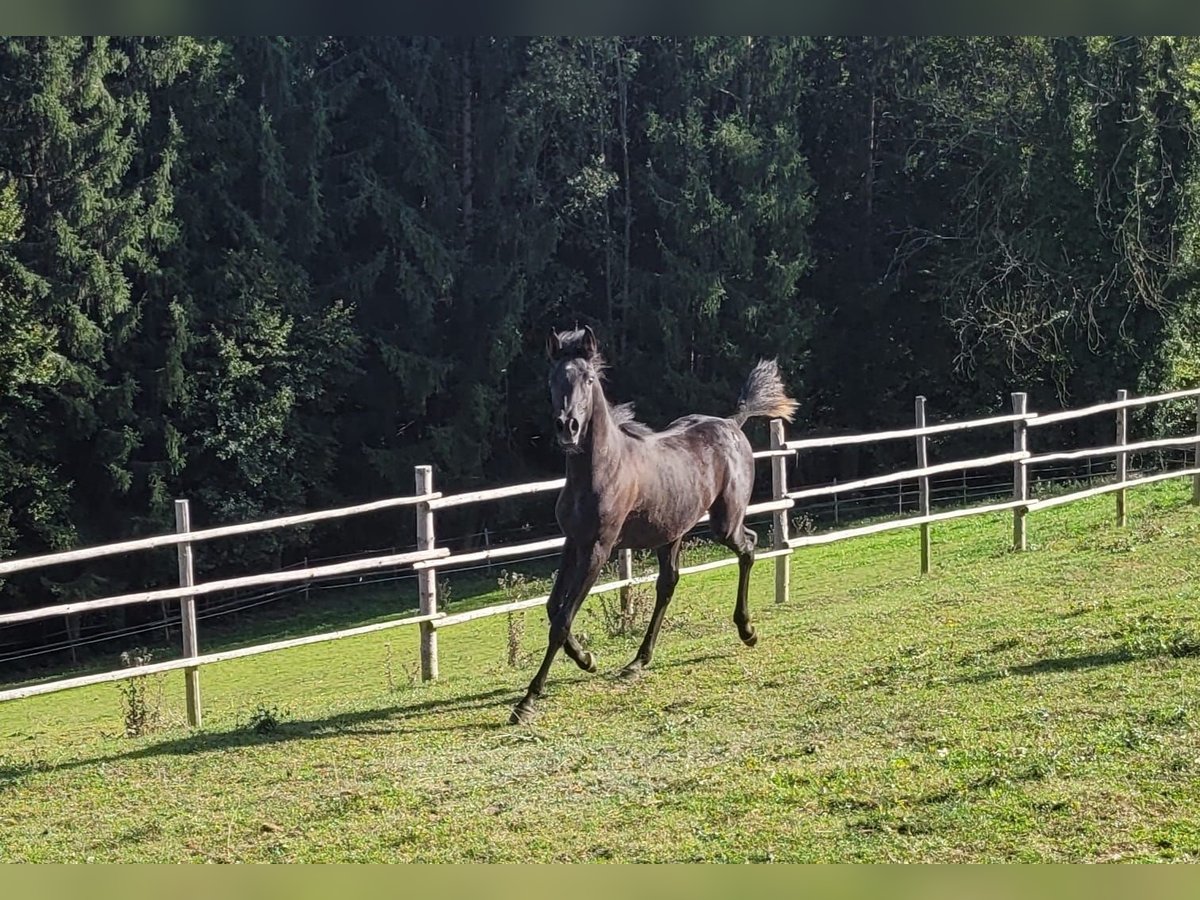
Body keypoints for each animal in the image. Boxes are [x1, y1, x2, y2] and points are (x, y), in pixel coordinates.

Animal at [508, 324, 796, 724]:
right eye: (552, 379)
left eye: (588, 378)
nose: (568, 427)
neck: (600, 469)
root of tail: (733, 423)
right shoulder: (573, 542)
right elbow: (553, 609)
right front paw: (586, 660)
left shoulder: (599, 548)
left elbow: (562, 619)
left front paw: (528, 701)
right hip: (671, 531)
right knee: (669, 583)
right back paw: (638, 662)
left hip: (723, 522)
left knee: (749, 545)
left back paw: (747, 630)